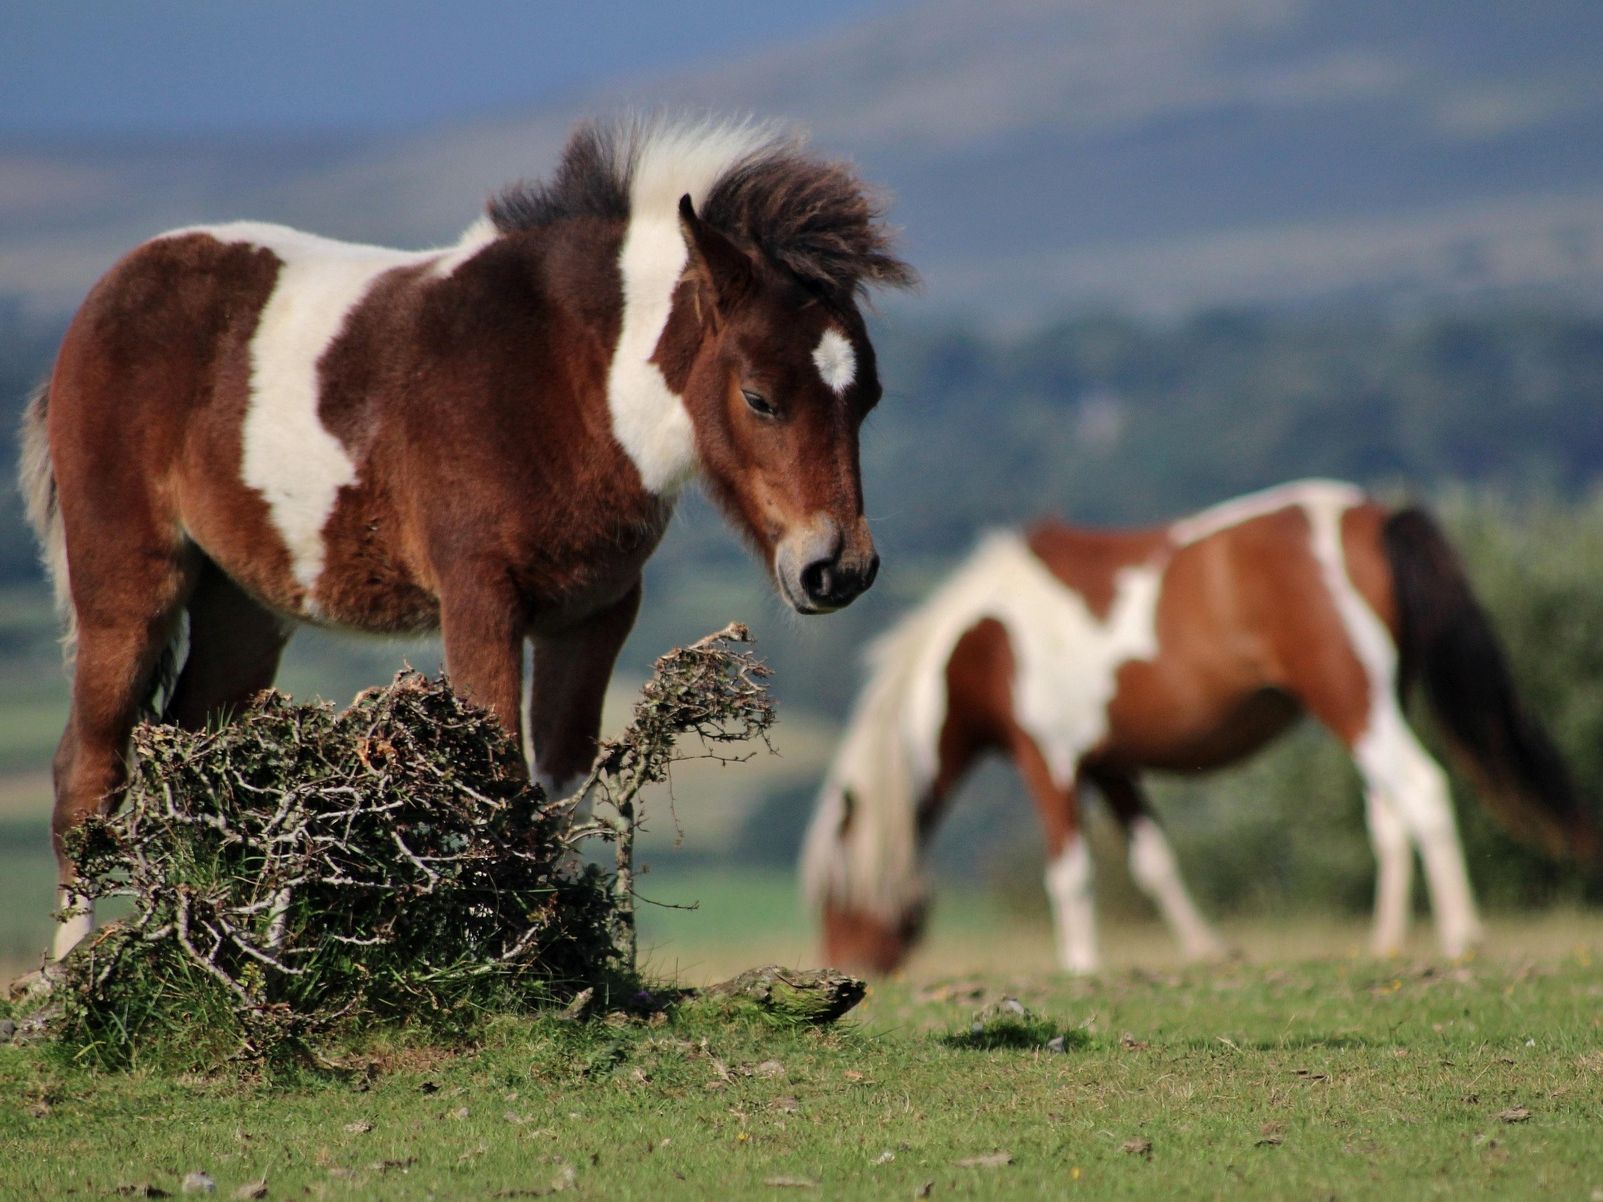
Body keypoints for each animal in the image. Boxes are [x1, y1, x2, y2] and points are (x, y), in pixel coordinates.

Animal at [20, 114, 916, 967]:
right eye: (760, 397)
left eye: (870, 397)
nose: (837, 569)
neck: (567, 380)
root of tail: (103, 299)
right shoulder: (480, 599)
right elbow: (498, 781)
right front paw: (508, 962)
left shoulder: (592, 614)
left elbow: (559, 789)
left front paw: (570, 960)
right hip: (127, 588)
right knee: (89, 774)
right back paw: (72, 974)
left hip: (244, 605)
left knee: (201, 754)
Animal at [802, 480, 1599, 974]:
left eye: (833, 891)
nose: (848, 966)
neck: (987, 638)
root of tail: (1372, 518)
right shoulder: (1110, 763)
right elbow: (1155, 863)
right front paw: (1209, 951)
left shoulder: (1047, 758)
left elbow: (1070, 872)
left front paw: (1080, 966)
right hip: (1373, 704)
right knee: (1388, 814)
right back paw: (1386, 943)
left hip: (1353, 701)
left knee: (1423, 790)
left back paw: (1461, 935)